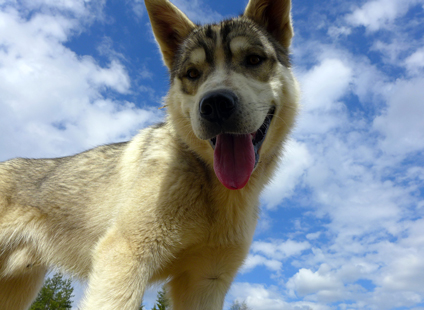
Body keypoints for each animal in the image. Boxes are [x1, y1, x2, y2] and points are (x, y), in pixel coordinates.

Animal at [0, 0, 298, 308]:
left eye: (253, 60)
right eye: (193, 73)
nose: (214, 104)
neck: (209, 185)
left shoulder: (207, 281)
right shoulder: (124, 258)